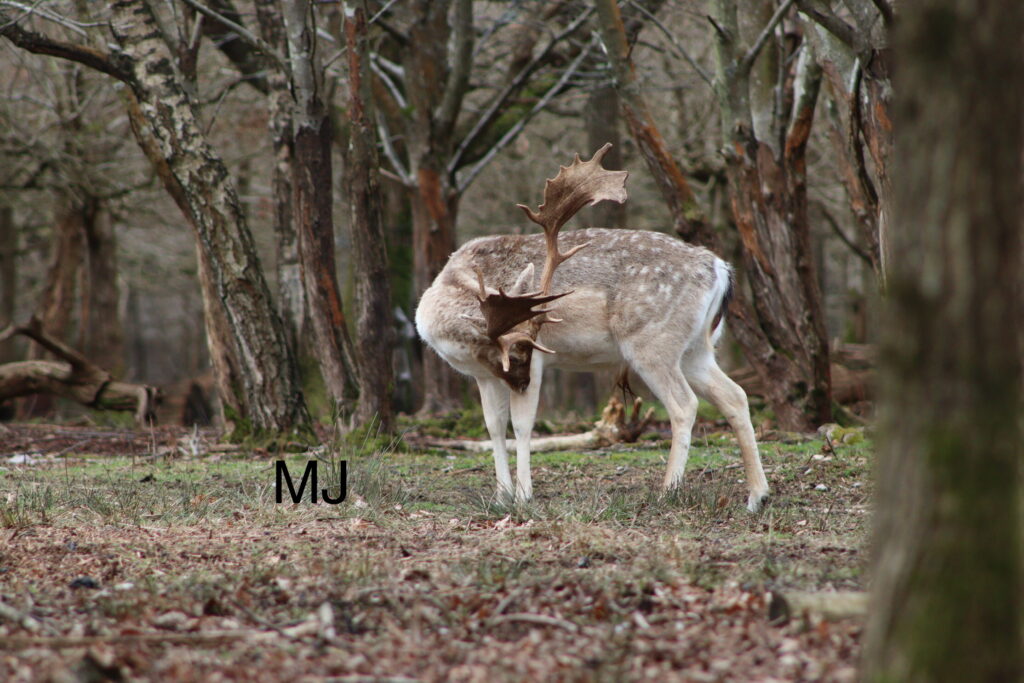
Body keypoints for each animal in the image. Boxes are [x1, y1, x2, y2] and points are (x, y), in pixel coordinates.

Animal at [415, 144, 769, 512]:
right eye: (513, 354)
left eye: (528, 349)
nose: (522, 383)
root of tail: (721, 269)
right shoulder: (485, 376)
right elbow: (494, 427)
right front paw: (501, 496)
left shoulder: (538, 364)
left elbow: (522, 425)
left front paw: (524, 497)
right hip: (695, 349)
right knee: (735, 395)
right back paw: (757, 496)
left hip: (652, 341)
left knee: (684, 405)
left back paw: (667, 491)